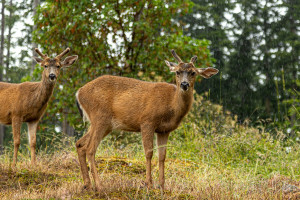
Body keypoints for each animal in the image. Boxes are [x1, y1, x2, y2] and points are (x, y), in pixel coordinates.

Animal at [75, 49, 218, 191]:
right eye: (177, 72)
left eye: (193, 72)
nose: (184, 84)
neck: (171, 105)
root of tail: (79, 92)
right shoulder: (147, 122)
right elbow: (149, 152)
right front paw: (148, 183)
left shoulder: (164, 130)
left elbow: (162, 156)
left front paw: (162, 185)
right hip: (100, 117)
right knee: (90, 149)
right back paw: (99, 185)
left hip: (104, 124)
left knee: (80, 144)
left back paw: (87, 184)